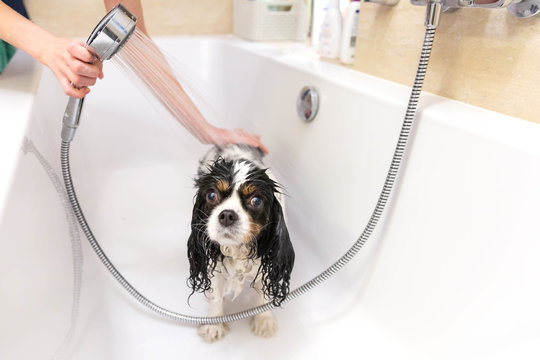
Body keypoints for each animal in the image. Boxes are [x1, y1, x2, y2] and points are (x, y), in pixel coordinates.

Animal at [187, 144, 296, 344]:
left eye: (256, 200)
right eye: (212, 195)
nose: (227, 215)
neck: (239, 249)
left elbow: (264, 296)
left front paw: (264, 321)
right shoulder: (214, 264)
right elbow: (216, 295)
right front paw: (214, 326)